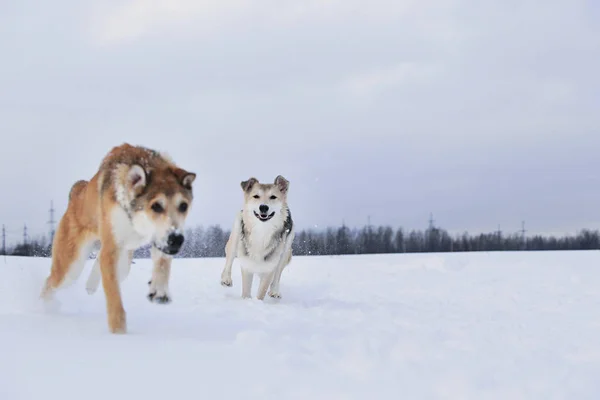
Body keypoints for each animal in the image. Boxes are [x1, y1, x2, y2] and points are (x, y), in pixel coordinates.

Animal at [41, 144, 196, 334]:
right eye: (156, 206)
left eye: (183, 206)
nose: (177, 239)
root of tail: (77, 192)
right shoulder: (112, 247)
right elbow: (114, 297)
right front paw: (119, 332)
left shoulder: (160, 240)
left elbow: (162, 263)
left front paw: (159, 291)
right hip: (71, 265)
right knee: (50, 282)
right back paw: (45, 307)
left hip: (123, 263)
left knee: (102, 260)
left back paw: (90, 285)